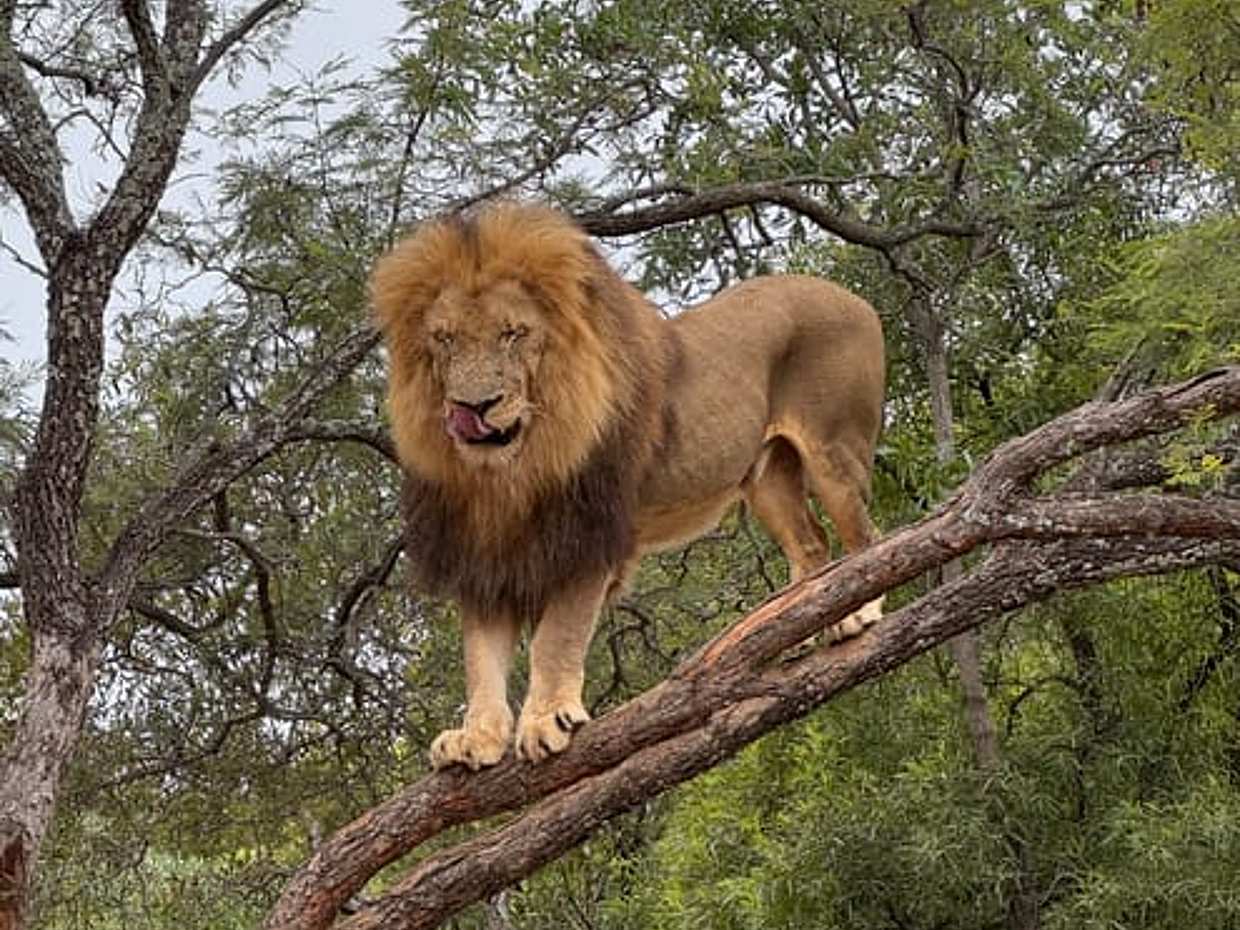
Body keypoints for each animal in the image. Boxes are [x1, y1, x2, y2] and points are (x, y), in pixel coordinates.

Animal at [371, 202, 885, 770]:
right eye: (444, 339)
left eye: (513, 333)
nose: (474, 407)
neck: (510, 473)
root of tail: (852, 296)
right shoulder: (487, 556)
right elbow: (481, 659)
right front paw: (476, 738)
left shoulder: (587, 541)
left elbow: (556, 639)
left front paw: (546, 720)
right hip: (767, 476)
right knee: (811, 543)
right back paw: (793, 623)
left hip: (834, 451)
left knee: (867, 540)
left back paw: (856, 612)